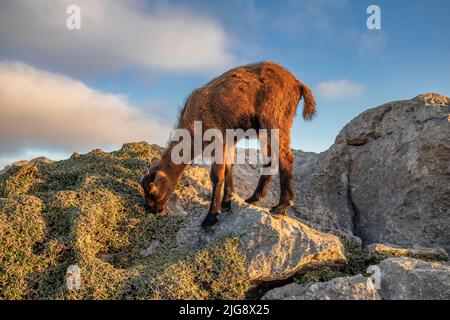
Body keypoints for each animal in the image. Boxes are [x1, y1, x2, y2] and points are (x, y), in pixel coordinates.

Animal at [142, 62, 316, 228]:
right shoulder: (229, 141)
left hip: (275, 119)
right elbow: (229, 168)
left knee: (286, 156)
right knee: (270, 159)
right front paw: (226, 202)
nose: (153, 210)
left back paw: (281, 206)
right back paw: (253, 198)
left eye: (151, 192)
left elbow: (216, 176)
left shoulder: (217, 140)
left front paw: (211, 217)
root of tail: (298, 84)